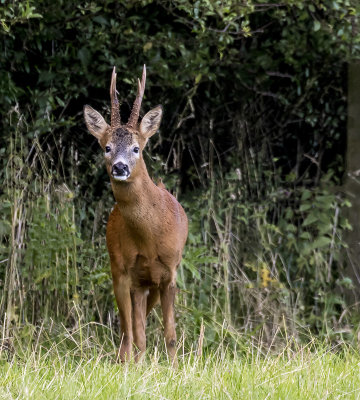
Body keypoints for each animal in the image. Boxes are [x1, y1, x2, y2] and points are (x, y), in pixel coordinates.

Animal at [82, 66, 187, 366]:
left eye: (136, 148)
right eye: (106, 147)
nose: (119, 167)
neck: (149, 237)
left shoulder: (170, 272)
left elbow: (170, 335)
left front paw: (175, 368)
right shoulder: (124, 271)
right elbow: (132, 331)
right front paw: (133, 366)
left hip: (149, 283)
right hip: (122, 272)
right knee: (130, 330)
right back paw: (129, 361)